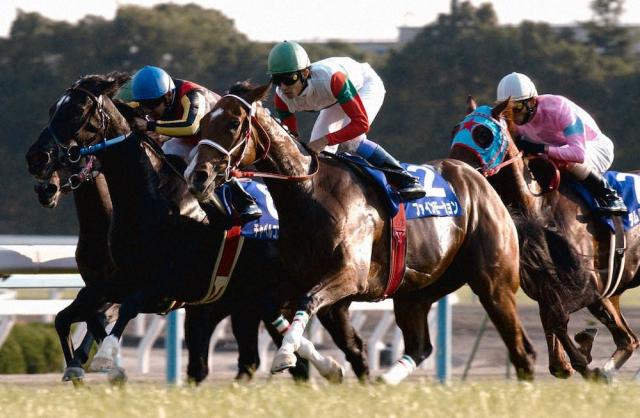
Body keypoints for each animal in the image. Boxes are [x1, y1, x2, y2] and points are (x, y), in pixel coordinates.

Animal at [185, 81, 536, 382]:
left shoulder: (350, 274)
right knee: (419, 347)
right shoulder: (296, 285)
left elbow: (310, 304)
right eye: (201, 126)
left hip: (494, 285)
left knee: (522, 351)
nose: (197, 176)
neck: (310, 194)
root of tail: (476, 175)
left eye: (233, 124)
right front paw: (330, 368)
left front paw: (285, 356)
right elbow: (338, 340)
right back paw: (385, 382)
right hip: (416, 291)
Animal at [450, 98, 640, 378]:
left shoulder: (590, 285)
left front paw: (583, 353)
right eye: (455, 130)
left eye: (483, 134)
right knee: (628, 340)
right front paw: (576, 358)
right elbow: (554, 330)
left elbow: (557, 319)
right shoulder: (548, 288)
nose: (456, 168)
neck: (539, 208)